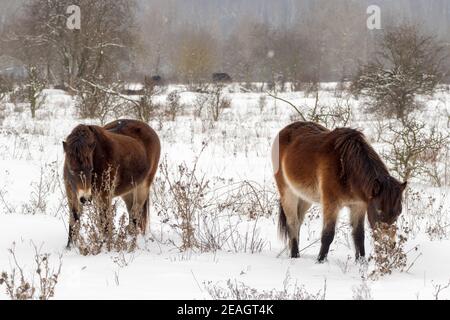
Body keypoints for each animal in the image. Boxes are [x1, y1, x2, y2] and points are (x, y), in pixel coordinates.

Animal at [270, 121, 408, 262]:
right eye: (379, 211)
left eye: (399, 212)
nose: (388, 246)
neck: (346, 167)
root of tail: (285, 130)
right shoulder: (331, 204)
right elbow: (328, 235)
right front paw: (320, 261)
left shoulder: (358, 206)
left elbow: (359, 236)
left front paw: (361, 263)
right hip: (288, 193)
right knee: (292, 223)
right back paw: (294, 256)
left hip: (304, 198)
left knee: (298, 223)